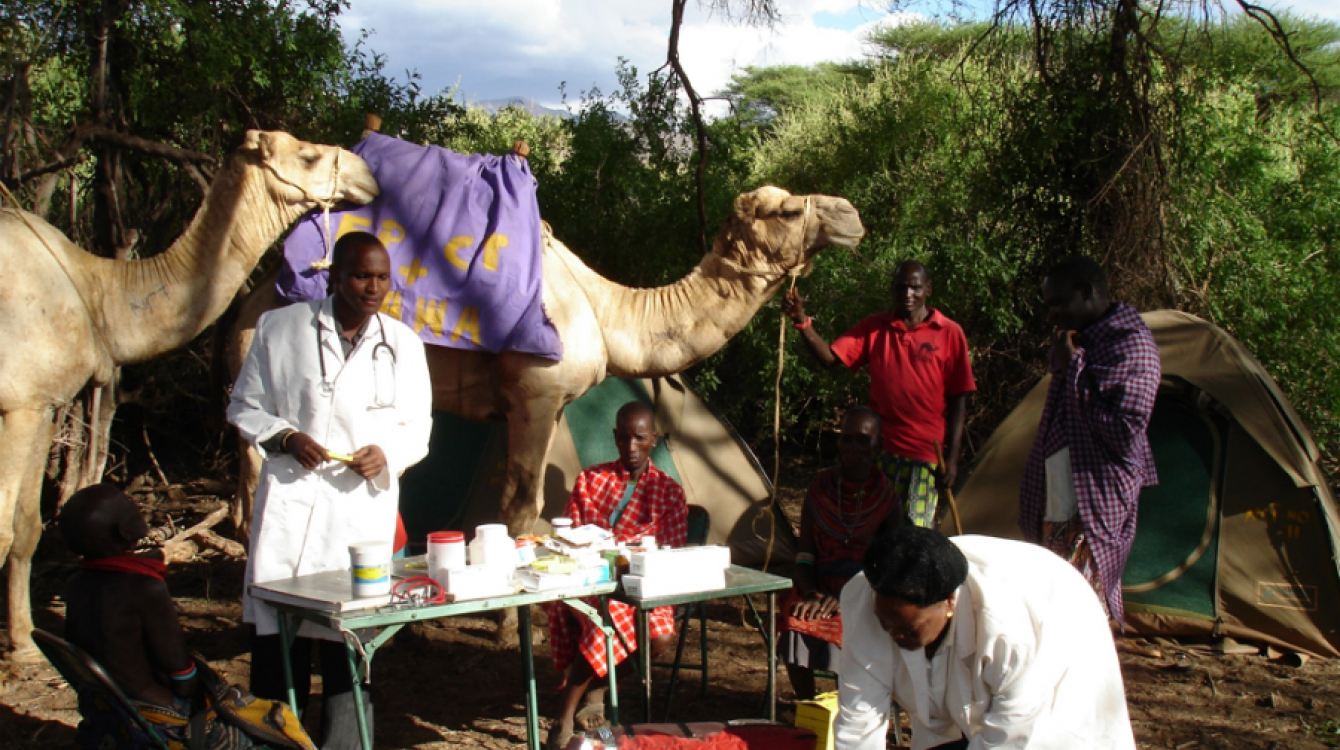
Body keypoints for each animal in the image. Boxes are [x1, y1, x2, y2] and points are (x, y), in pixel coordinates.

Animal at [0, 131, 377, 658]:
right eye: (306, 155)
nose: (367, 176)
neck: (94, 290)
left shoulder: (40, 401)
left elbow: (25, 525)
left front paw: (24, 642)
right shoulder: (20, 404)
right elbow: (3, 525)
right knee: (250, 498)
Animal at [226, 186, 862, 538]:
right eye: (786, 211)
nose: (851, 215)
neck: (604, 311)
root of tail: (254, 297)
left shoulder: (544, 405)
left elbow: (517, 501)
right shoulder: (535, 393)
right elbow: (522, 504)